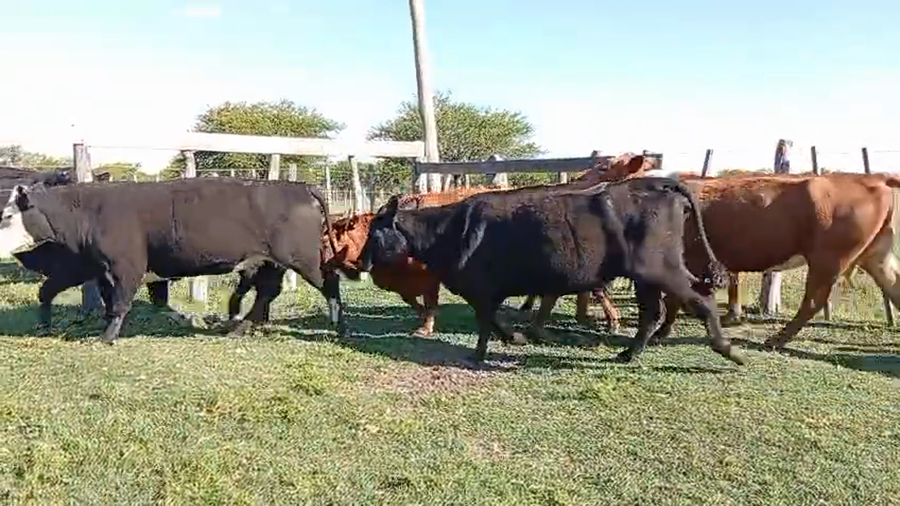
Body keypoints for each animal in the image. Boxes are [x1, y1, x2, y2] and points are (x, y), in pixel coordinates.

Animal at [0, 178, 346, 343]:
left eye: (7, 216)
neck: (87, 211)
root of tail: (300, 186)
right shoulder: (85, 265)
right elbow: (48, 290)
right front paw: (44, 324)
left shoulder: (126, 266)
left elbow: (120, 302)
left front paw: (107, 337)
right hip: (269, 263)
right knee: (266, 294)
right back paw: (239, 328)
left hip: (304, 259)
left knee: (330, 282)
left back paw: (339, 326)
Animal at [358, 175, 747, 366]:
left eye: (375, 232)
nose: (361, 262)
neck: (452, 230)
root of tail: (659, 183)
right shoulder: (485, 292)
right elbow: (493, 320)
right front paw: (513, 338)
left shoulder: (481, 288)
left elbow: (486, 322)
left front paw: (482, 353)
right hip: (647, 276)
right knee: (653, 312)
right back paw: (627, 354)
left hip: (661, 269)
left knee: (701, 299)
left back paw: (729, 350)